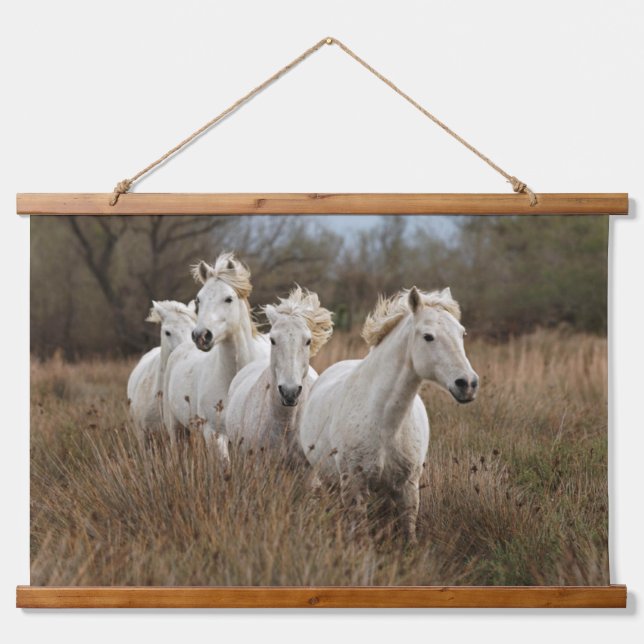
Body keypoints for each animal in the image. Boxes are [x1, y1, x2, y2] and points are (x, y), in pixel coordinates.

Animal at [163, 252, 269, 476]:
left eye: (228, 298)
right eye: (199, 299)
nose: (201, 336)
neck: (234, 376)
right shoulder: (214, 433)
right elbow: (225, 468)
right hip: (175, 427)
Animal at [298, 286, 478, 543]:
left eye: (462, 333)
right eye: (428, 336)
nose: (468, 384)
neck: (385, 423)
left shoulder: (407, 488)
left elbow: (408, 533)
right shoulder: (354, 487)